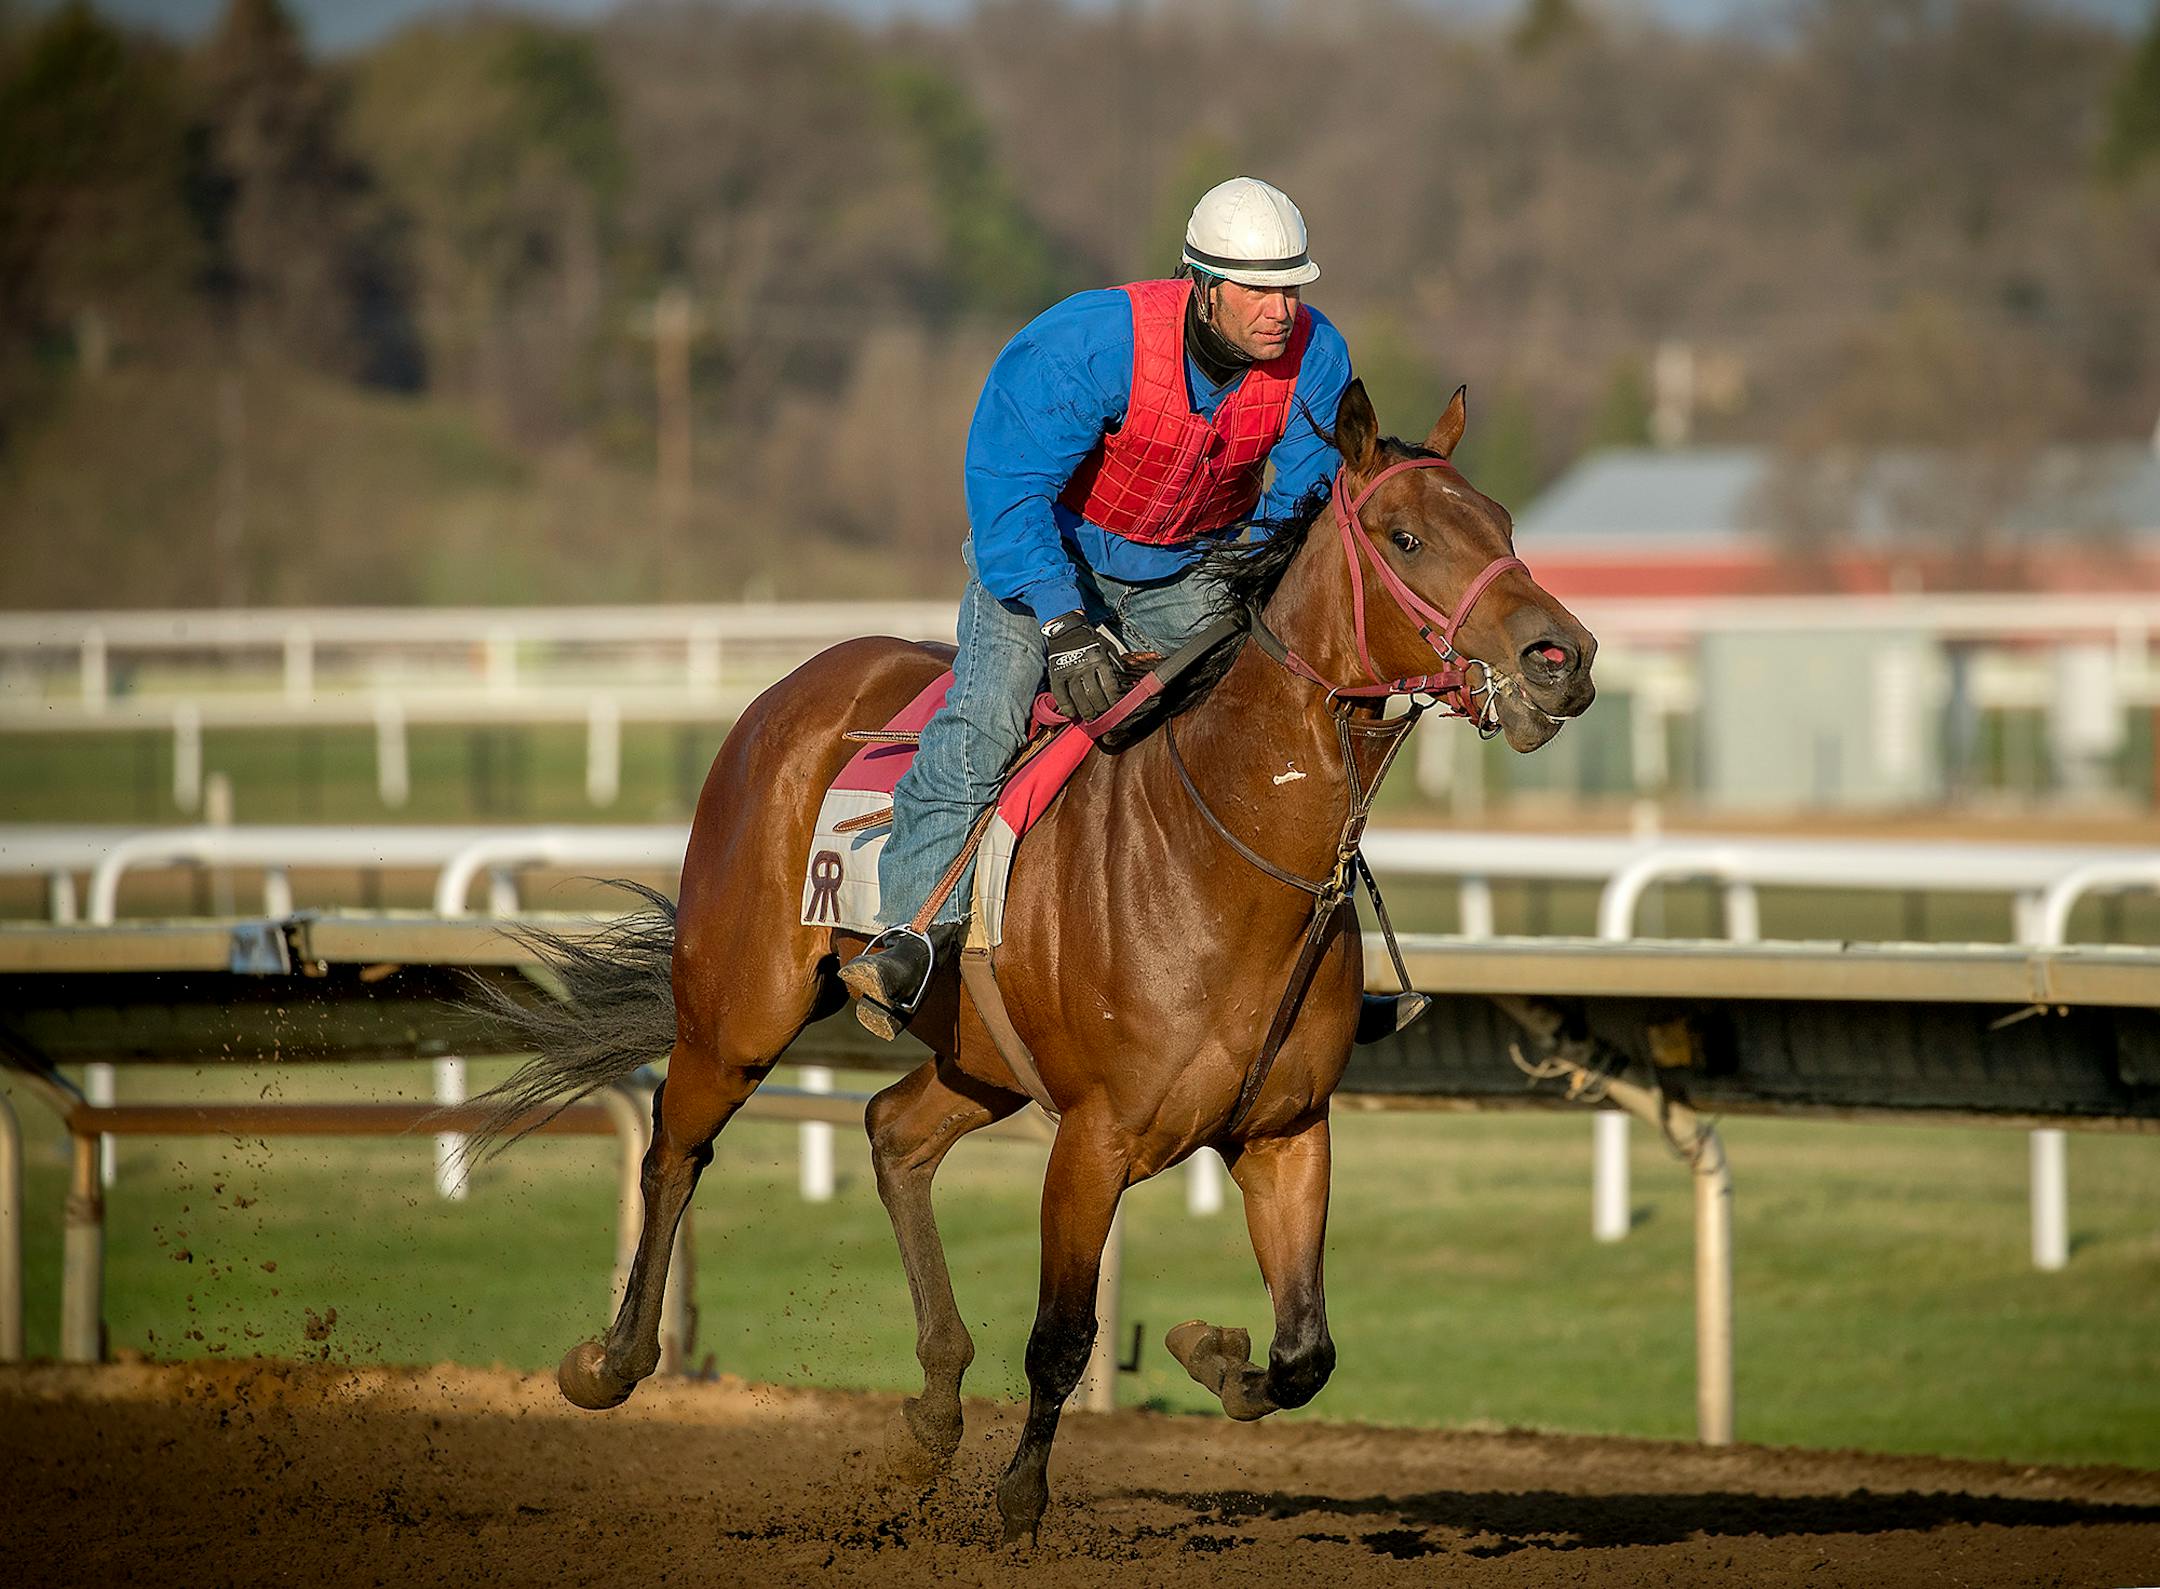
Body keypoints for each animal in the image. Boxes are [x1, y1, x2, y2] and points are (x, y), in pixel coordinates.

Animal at [466, 377, 1596, 1544]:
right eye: (1405, 535)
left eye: (1505, 525)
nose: (1562, 656)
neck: (1228, 848)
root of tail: (796, 684)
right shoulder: (1095, 1137)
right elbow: (1061, 1333)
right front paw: (1019, 1497)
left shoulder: (1287, 1128)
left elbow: (1303, 1353)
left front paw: (1209, 1348)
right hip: (741, 1009)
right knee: (676, 1145)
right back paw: (611, 1359)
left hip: (983, 1060)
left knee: (893, 1132)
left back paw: (930, 1412)